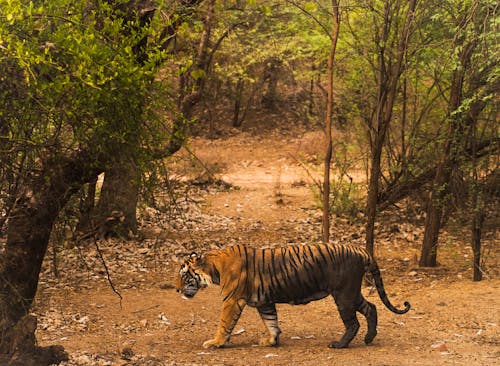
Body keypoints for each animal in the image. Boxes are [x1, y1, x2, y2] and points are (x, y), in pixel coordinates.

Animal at [176, 243, 410, 348]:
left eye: (184, 275)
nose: (177, 290)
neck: (214, 268)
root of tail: (361, 249)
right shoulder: (264, 301)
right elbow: (271, 321)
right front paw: (271, 340)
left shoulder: (231, 301)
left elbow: (224, 324)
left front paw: (215, 342)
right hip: (352, 293)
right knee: (372, 308)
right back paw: (370, 338)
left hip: (343, 295)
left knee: (353, 322)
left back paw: (339, 344)